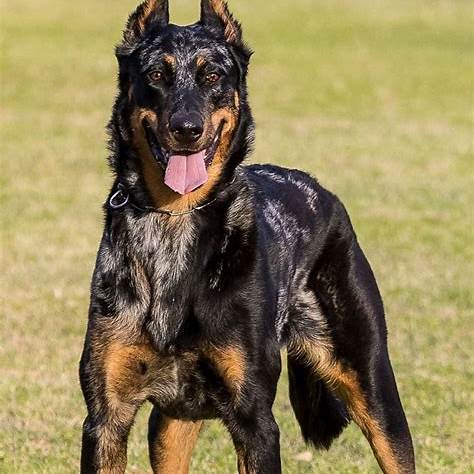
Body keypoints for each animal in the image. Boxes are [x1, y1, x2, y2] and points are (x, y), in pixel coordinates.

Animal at [79, 1, 416, 472]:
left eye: (213, 76)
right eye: (157, 75)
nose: (187, 128)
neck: (173, 220)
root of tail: (319, 190)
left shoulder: (254, 418)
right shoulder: (106, 417)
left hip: (373, 388)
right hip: (172, 422)